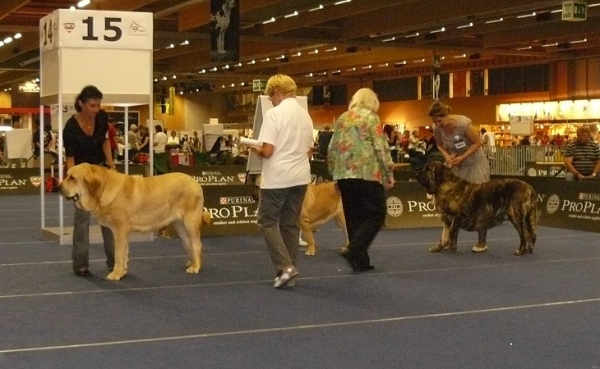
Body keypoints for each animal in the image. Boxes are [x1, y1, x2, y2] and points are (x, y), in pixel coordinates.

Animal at [58, 162, 209, 280]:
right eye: (67, 175)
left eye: (72, 178)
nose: (58, 187)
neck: (103, 188)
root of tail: (196, 183)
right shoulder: (123, 233)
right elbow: (124, 253)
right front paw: (122, 272)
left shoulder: (120, 230)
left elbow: (119, 254)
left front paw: (116, 274)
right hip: (180, 226)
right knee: (188, 243)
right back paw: (192, 262)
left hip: (190, 222)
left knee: (197, 244)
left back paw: (196, 267)